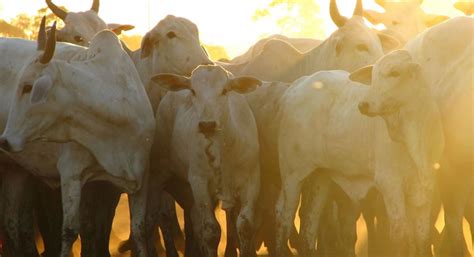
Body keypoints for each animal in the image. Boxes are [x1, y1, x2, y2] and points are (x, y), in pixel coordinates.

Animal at [0, 22, 155, 256]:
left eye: (27, 87)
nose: (5, 141)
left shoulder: (141, 179)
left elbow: (139, 231)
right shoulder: (71, 174)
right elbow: (70, 231)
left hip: (15, 170)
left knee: (12, 224)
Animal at [152, 65, 262, 256]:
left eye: (224, 90)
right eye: (193, 91)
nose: (207, 125)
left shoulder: (252, 180)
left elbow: (245, 225)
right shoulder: (199, 182)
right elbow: (211, 231)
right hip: (162, 173)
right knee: (166, 216)